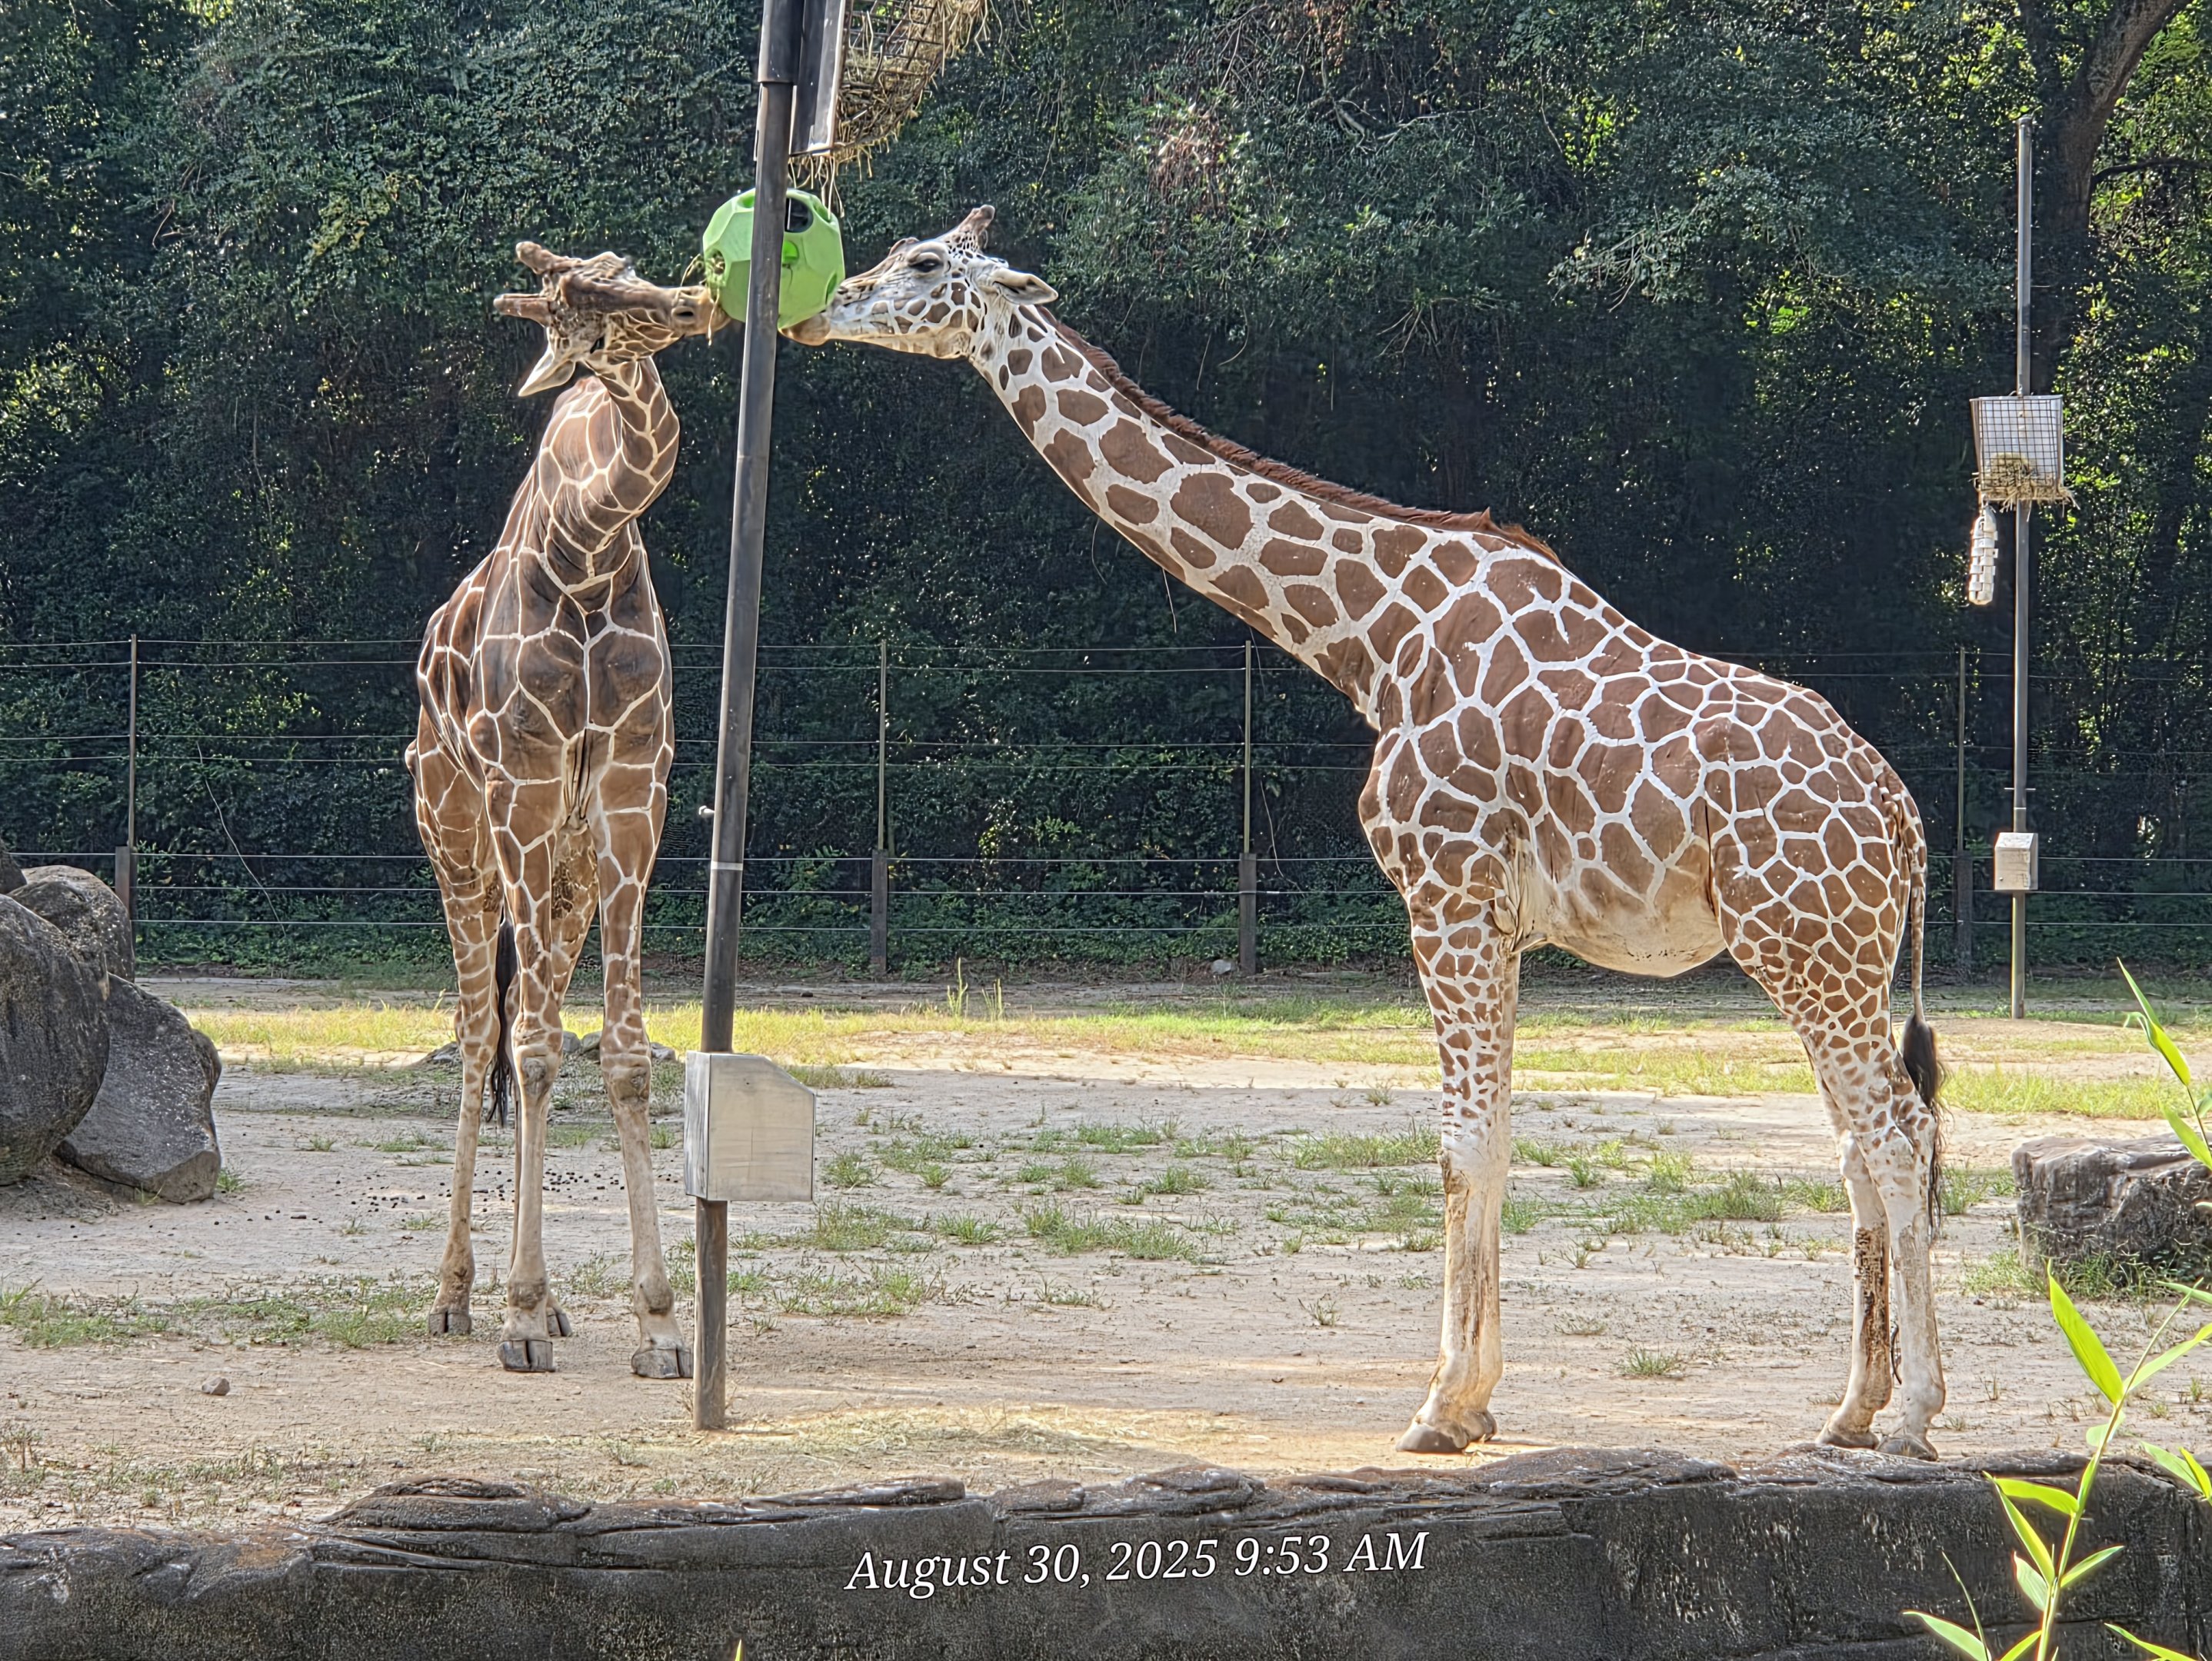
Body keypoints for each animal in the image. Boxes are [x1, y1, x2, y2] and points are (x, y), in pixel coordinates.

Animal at [406, 242, 711, 1377]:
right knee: (478, 1037)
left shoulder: (631, 806)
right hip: (460, 845)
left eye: (634, 276)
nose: (691, 303)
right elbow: (530, 1049)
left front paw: (659, 1324)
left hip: (566, 877)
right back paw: (456, 1296)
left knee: (528, 1017)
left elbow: (619, 1057)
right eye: (581, 307)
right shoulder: (526, 796)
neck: (591, 544)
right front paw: (522, 1314)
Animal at [789, 207, 1951, 1457]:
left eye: (922, 266)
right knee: (1859, 1146)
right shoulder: (1490, 921)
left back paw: (1914, 1416)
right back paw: (1848, 1410)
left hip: (1809, 952)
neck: (1372, 637)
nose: (819, 309)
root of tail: (1903, 816)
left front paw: (1441, 1406)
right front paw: (1475, 1401)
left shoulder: (1442, 898)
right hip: (1829, 959)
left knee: (1898, 1136)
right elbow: (1489, 1138)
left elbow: (1461, 1144)